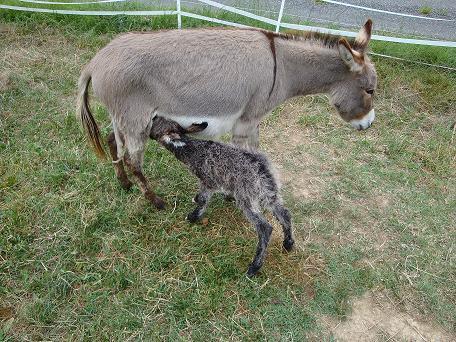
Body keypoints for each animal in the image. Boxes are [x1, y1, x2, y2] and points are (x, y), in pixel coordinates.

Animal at [148, 116, 294, 276]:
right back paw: (288, 243)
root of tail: (261, 167)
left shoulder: (208, 181)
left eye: (154, 124)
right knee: (284, 214)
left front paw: (193, 216)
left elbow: (203, 200)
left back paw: (255, 266)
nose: (153, 117)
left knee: (264, 228)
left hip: (246, 196)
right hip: (269, 192)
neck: (190, 147)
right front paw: (223, 197)